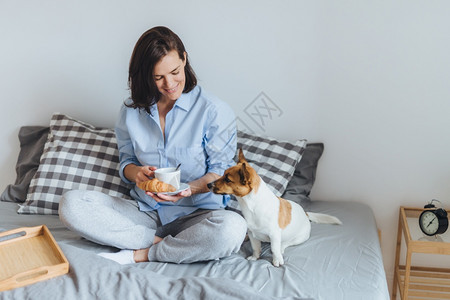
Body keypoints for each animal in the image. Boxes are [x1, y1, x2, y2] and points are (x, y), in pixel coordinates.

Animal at [207, 149, 342, 266]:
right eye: (223, 175)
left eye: (227, 180)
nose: (208, 184)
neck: (252, 206)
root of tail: (305, 213)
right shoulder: (252, 234)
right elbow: (255, 247)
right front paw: (255, 257)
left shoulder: (274, 235)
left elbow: (274, 248)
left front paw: (277, 260)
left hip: (299, 238)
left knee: (284, 244)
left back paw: (282, 249)